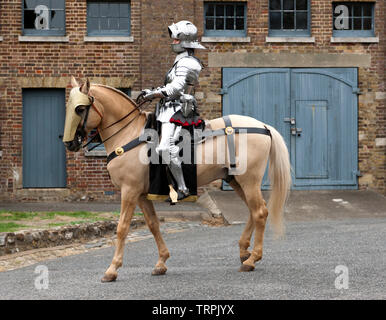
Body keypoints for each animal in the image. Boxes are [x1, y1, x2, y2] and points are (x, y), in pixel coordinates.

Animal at [63, 77, 292, 282]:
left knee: (260, 212)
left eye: (80, 109)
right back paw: (244, 251)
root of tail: (263, 126)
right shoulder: (141, 195)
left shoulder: (129, 191)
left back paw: (252, 259)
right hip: (237, 181)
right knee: (255, 212)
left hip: (249, 181)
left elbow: (122, 228)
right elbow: (153, 224)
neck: (129, 134)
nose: (69, 143)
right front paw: (161, 262)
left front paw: (112, 270)